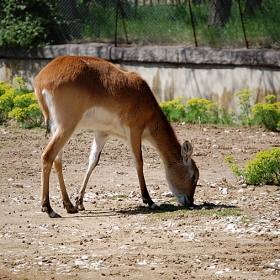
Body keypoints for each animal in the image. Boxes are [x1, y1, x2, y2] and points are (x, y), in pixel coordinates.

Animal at [34, 54, 199, 217]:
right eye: (194, 175)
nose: (190, 201)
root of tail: (41, 80)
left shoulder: (102, 132)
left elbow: (93, 161)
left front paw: (79, 202)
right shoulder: (135, 130)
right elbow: (139, 162)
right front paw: (149, 201)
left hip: (57, 128)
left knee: (57, 160)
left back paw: (68, 206)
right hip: (67, 126)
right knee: (47, 156)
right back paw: (48, 208)